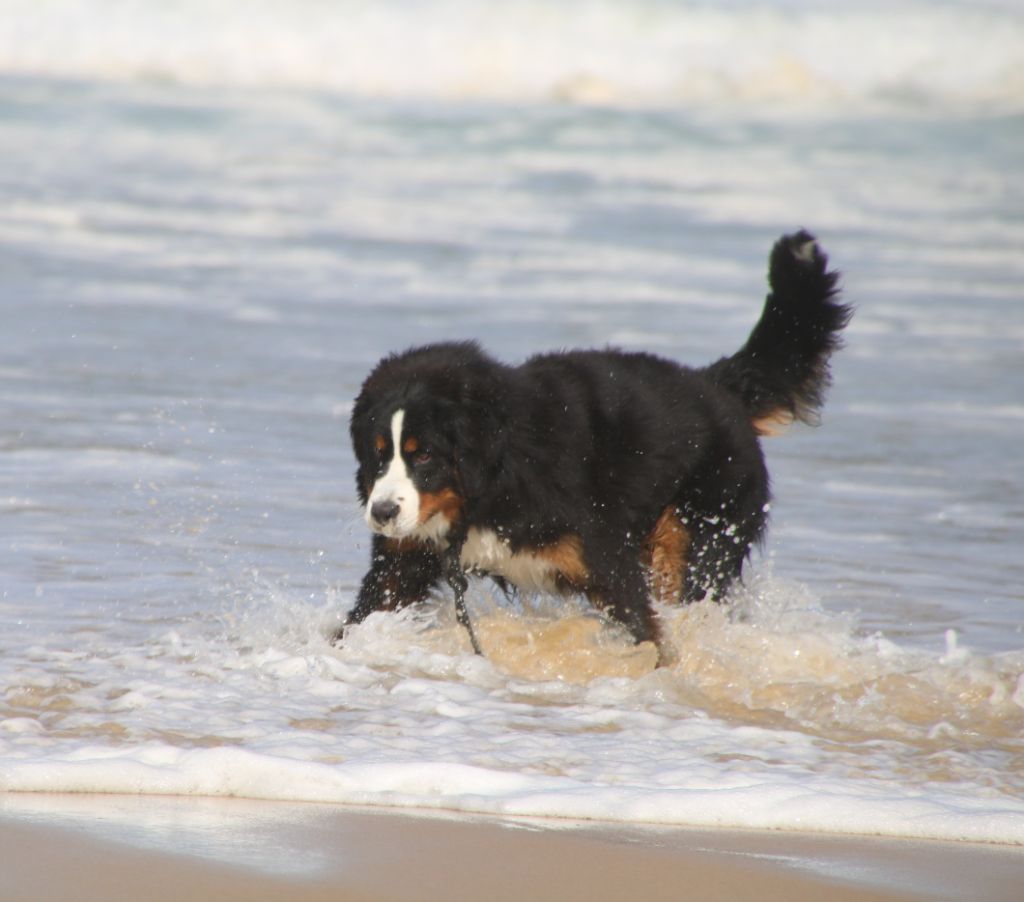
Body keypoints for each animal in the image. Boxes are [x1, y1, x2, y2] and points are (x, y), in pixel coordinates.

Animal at [339, 232, 851, 663]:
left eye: (424, 453)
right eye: (379, 452)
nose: (381, 512)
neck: (499, 475)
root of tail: (716, 384)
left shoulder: (608, 565)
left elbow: (647, 634)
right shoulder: (404, 561)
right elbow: (360, 620)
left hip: (695, 542)